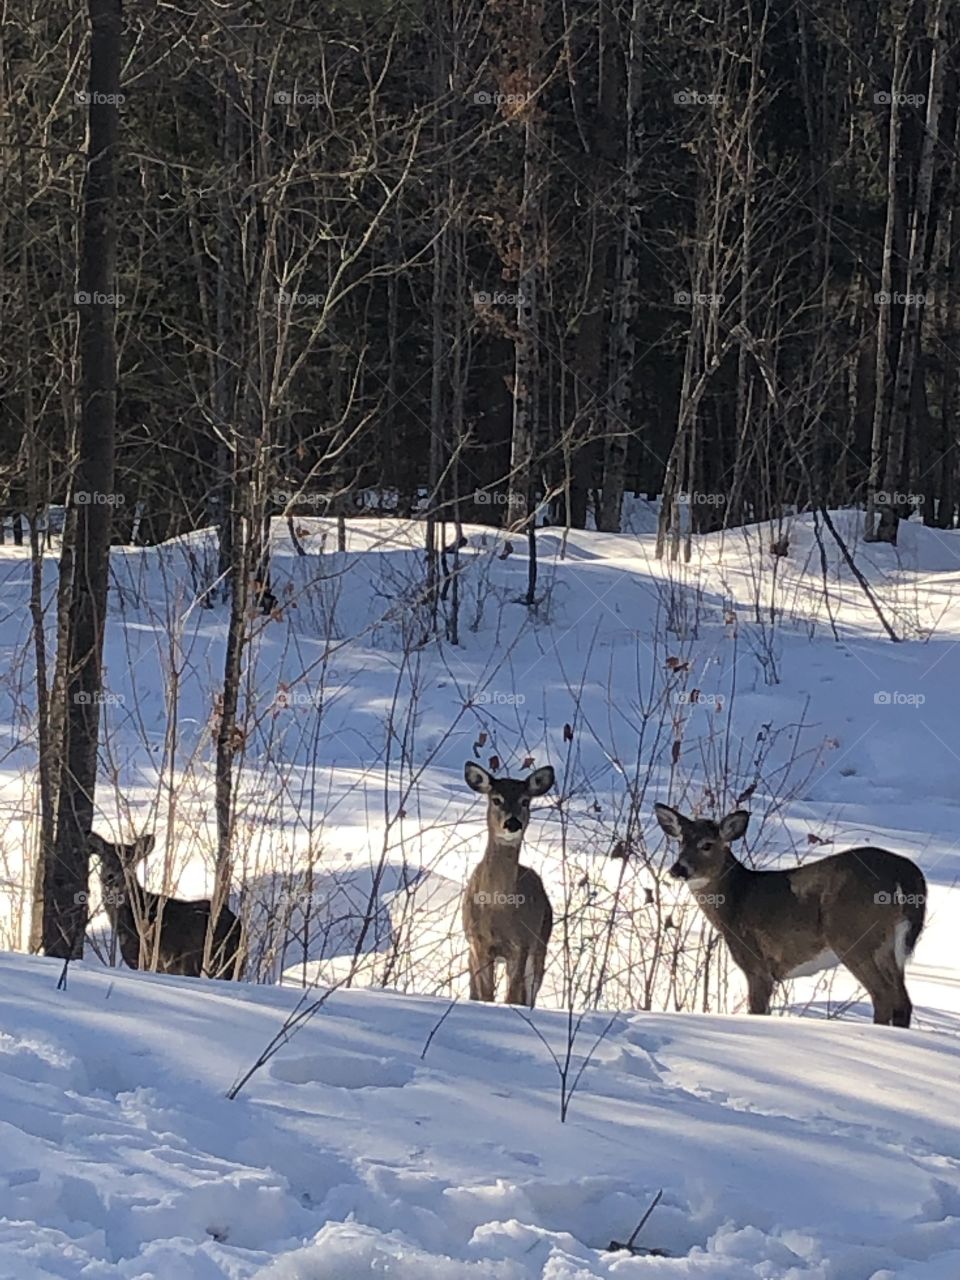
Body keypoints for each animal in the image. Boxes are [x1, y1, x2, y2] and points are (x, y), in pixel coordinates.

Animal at [461, 761, 554, 1007]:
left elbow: (512, 996)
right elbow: (486, 994)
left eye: (525, 801)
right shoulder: (479, 943)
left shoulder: (521, 944)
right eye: (496, 799)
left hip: (541, 943)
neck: (497, 906)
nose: (512, 823)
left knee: (528, 995)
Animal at [654, 805, 926, 1027]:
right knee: (902, 1002)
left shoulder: (757, 963)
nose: (677, 869)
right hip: (890, 945)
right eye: (680, 841)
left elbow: (757, 1009)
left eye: (707, 844)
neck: (735, 901)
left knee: (882, 996)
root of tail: (906, 874)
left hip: (853, 935)